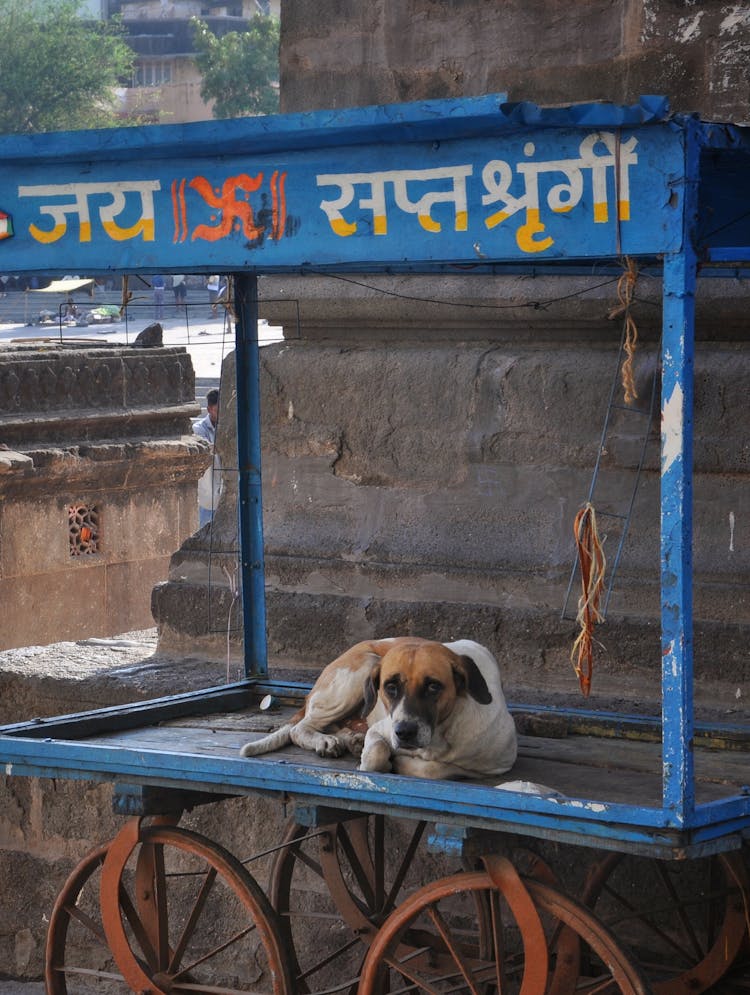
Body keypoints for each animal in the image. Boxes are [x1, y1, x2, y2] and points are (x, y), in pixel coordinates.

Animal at [239, 640, 516, 784]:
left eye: (433, 686)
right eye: (390, 687)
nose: (404, 732)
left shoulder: (500, 764)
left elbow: (433, 769)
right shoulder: (382, 728)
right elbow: (375, 755)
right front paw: (382, 759)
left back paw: (348, 739)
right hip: (362, 668)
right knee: (299, 728)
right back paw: (327, 741)